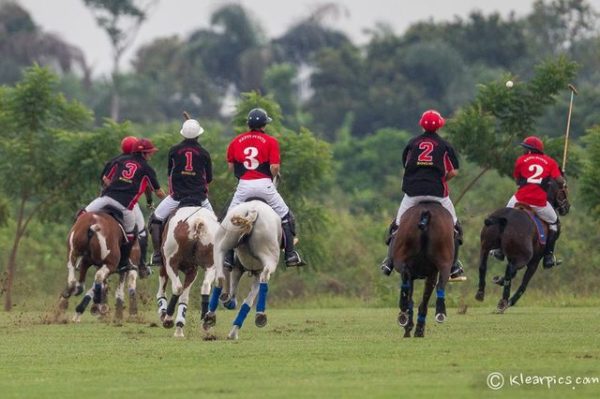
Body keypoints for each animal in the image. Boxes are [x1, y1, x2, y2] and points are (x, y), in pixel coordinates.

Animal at [156, 208, 219, 340]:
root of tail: (197, 222)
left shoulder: (165, 263)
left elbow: (163, 290)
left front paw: (164, 312)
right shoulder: (192, 270)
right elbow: (184, 298)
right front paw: (179, 328)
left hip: (170, 262)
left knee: (177, 288)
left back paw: (168, 318)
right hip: (211, 263)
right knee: (205, 286)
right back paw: (207, 320)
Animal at [203, 200, 282, 340]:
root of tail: (252, 210)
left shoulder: (237, 268)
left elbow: (239, 297)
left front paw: (229, 303)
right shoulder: (255, 271)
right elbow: (248, 300)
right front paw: (234, 332)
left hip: (221, 246)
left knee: (220, 277)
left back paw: (210, 316)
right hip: (270, 257)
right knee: (265, 276)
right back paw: (260, 315)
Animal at [392, 203, 452, 338]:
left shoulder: (423, 274)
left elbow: (412, 299)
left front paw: (410, 326)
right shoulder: (432, 273)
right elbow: (423, 301)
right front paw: (417, 329)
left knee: (405, 277)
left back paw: (403, 312)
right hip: (445, 262)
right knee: (441, 284)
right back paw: (440, 312)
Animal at [474, 180, 568, 314]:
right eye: (564, 188)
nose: (567, 207)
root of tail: (504, 218)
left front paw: (498, 279)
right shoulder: (534, 261)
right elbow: (523, 284)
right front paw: (510, 300)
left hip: (485, 246)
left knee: (483, 266)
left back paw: (481, 293)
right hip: (523, 257)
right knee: (510, 271)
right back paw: (503, 302)